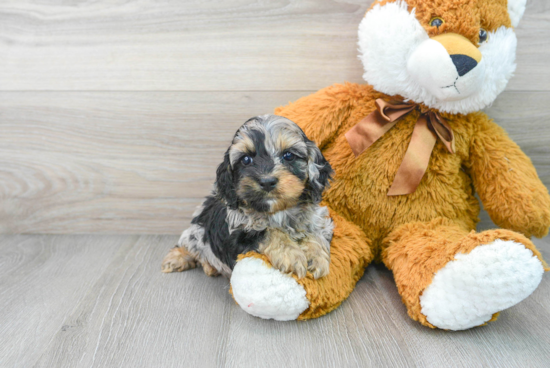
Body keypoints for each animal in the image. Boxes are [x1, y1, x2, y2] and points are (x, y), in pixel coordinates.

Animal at [162, 115, 334, 278]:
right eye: (246, 159)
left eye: (288, 156)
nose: (267, 182)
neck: (278, 211)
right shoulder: (237, 237)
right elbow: (268, 231)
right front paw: (291, 255)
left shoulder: (320, 222)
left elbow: (315, 234)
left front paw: (316, 257)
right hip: (196, 231)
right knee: (188, 245)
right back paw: (178, 259)